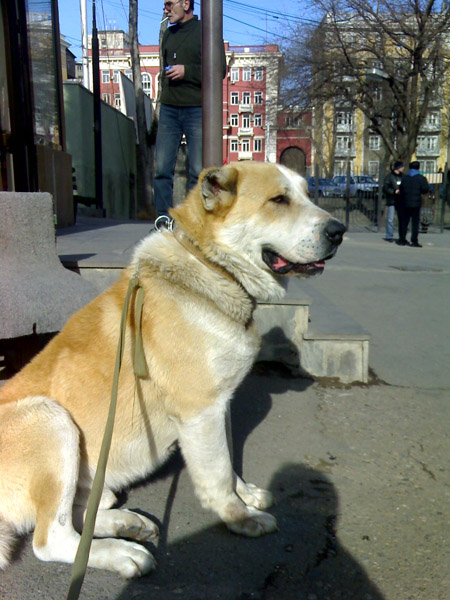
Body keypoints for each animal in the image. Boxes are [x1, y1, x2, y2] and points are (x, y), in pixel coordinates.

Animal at [0, 161, 345, 578]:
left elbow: (228, 459)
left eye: (309, 194)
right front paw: (239, 517)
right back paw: (122, 553)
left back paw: (126, 523)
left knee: (87, 512)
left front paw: (245, 495)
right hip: (51, 419)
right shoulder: (201, 410)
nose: (339, 231)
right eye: (279, 200)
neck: (209, 264)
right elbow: (217, 471)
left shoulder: (219, 406)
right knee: (52, 538)